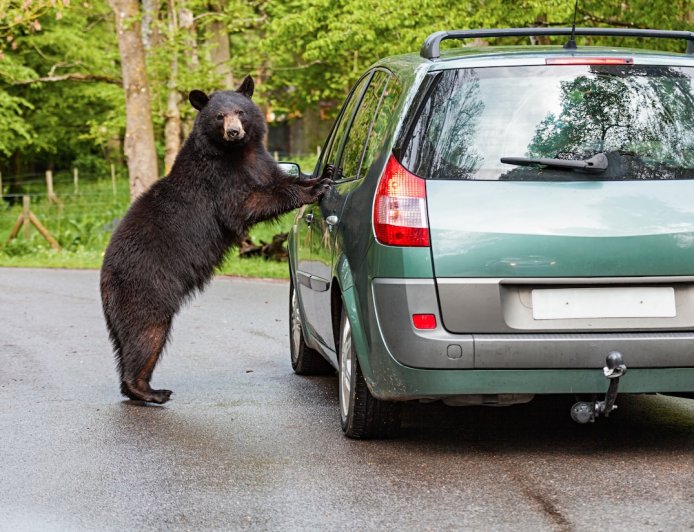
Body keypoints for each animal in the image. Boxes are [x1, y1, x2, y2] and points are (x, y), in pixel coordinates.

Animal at [100, 75, 331, 404]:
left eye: (240, 111)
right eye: (219, 116)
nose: (234, 132)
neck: (237, 153)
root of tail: (105, 276)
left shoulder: (261, 162)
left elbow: (279, 179)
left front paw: (322, 175)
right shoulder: (218, 180)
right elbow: (246, 204)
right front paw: (315, 189)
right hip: (145, 286)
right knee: (146, 333)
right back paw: (150, 390)